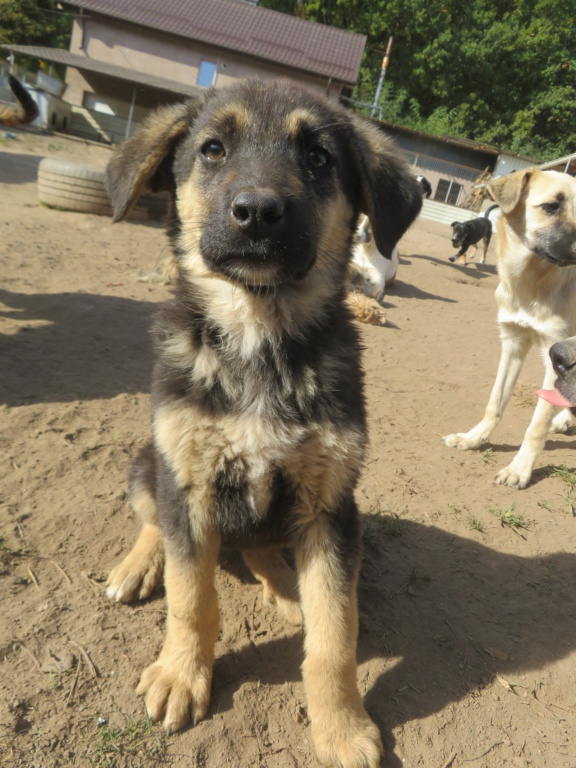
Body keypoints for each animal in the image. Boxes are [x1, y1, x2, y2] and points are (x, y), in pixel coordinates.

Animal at [103, 81, 420, 764]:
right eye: (213, 150)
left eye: (320, 158)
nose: (256, 212)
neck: (259, 340)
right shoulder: (188, 483)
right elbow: (191, 598)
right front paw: (181, 675)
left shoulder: (331, 507)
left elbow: (335, 633)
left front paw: (341, 725)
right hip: (148, 461)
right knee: (156, 523)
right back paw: (137, 567)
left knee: (260, 549)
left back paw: (284, 587)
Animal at [444, 170, 576, 488]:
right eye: (551, 206)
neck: (529, 283)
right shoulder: (513, 343)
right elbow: (495, 402)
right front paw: (473, 438)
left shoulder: (555, 355)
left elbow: (536, 426)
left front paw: (520, 469)